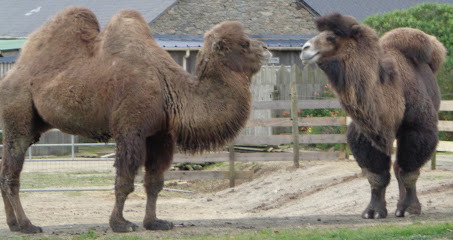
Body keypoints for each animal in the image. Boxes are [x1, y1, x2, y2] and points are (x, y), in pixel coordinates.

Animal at [0, 7, 268, 232]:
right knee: (13, 173)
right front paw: (121, 224)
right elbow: (125, 180)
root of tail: (9, 77)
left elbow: (154, 182)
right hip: (18, 116)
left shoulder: (160, 135)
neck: (170, 88)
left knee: (4, 172)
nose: (266, 48)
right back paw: (27, 225)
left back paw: (13, 224)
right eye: (244, 44)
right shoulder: (131, 129)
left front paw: (155, 222)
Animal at [300, 13, 444, 219]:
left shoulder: (417, 128)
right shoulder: (367, 132)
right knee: (396, 166)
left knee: (401, 167)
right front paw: (373, 211)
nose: (305, 49)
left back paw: (403, 208)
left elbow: (409, 171)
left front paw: (409, 209)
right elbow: (376, 175)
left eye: (332, 37)